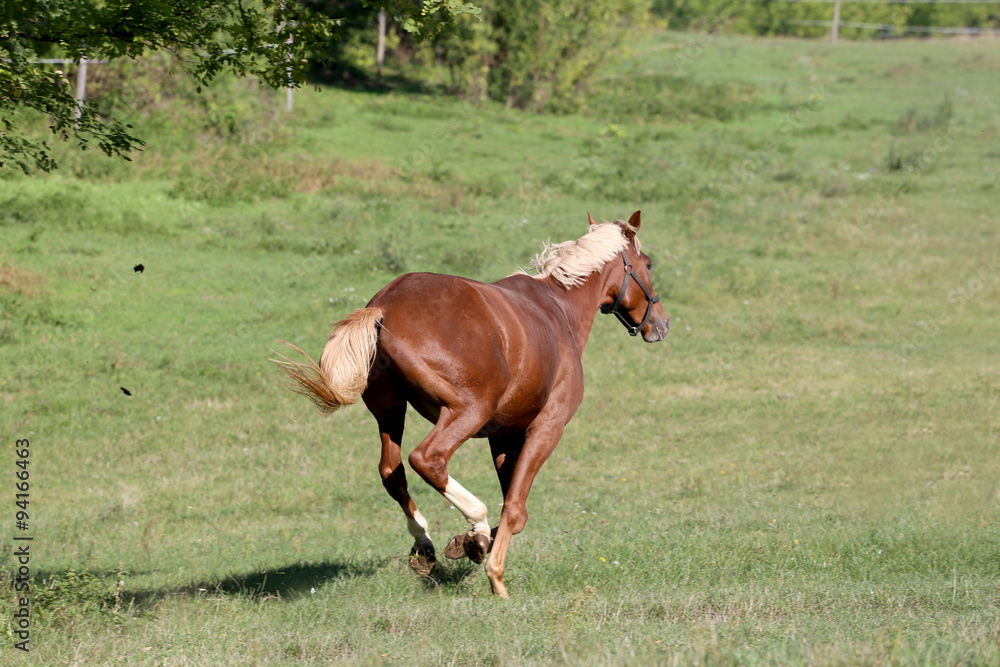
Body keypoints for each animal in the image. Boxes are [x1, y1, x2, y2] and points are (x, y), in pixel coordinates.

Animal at [274, 211, 668, 597]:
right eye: (648, 263)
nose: (662, 323)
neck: (557, 309)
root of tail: (383, 307)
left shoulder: (504, 435)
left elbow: (514, 509)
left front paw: (469, 544)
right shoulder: (546, 428)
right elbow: (514, 508)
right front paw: (494, 571)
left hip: (391, 412)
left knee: (392, 472)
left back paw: (428, 546)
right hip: (467, 411)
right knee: (427, 459)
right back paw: (474, 525)